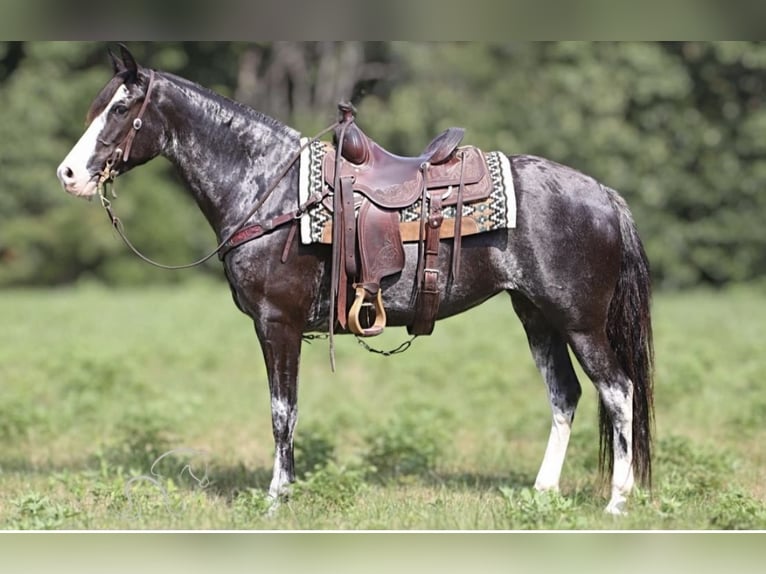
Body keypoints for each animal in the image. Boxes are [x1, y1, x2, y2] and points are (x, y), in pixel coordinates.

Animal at [56, 45, 654, 515]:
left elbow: (282, 411)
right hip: (537, 315)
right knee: (565, 394)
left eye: (120, 107)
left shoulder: (278, 323)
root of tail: (604, 195)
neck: (270, 191)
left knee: (618, 391)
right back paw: (542, 493)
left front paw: (277, 499)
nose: (68, 174)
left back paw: (617, 501)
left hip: (579, 321)